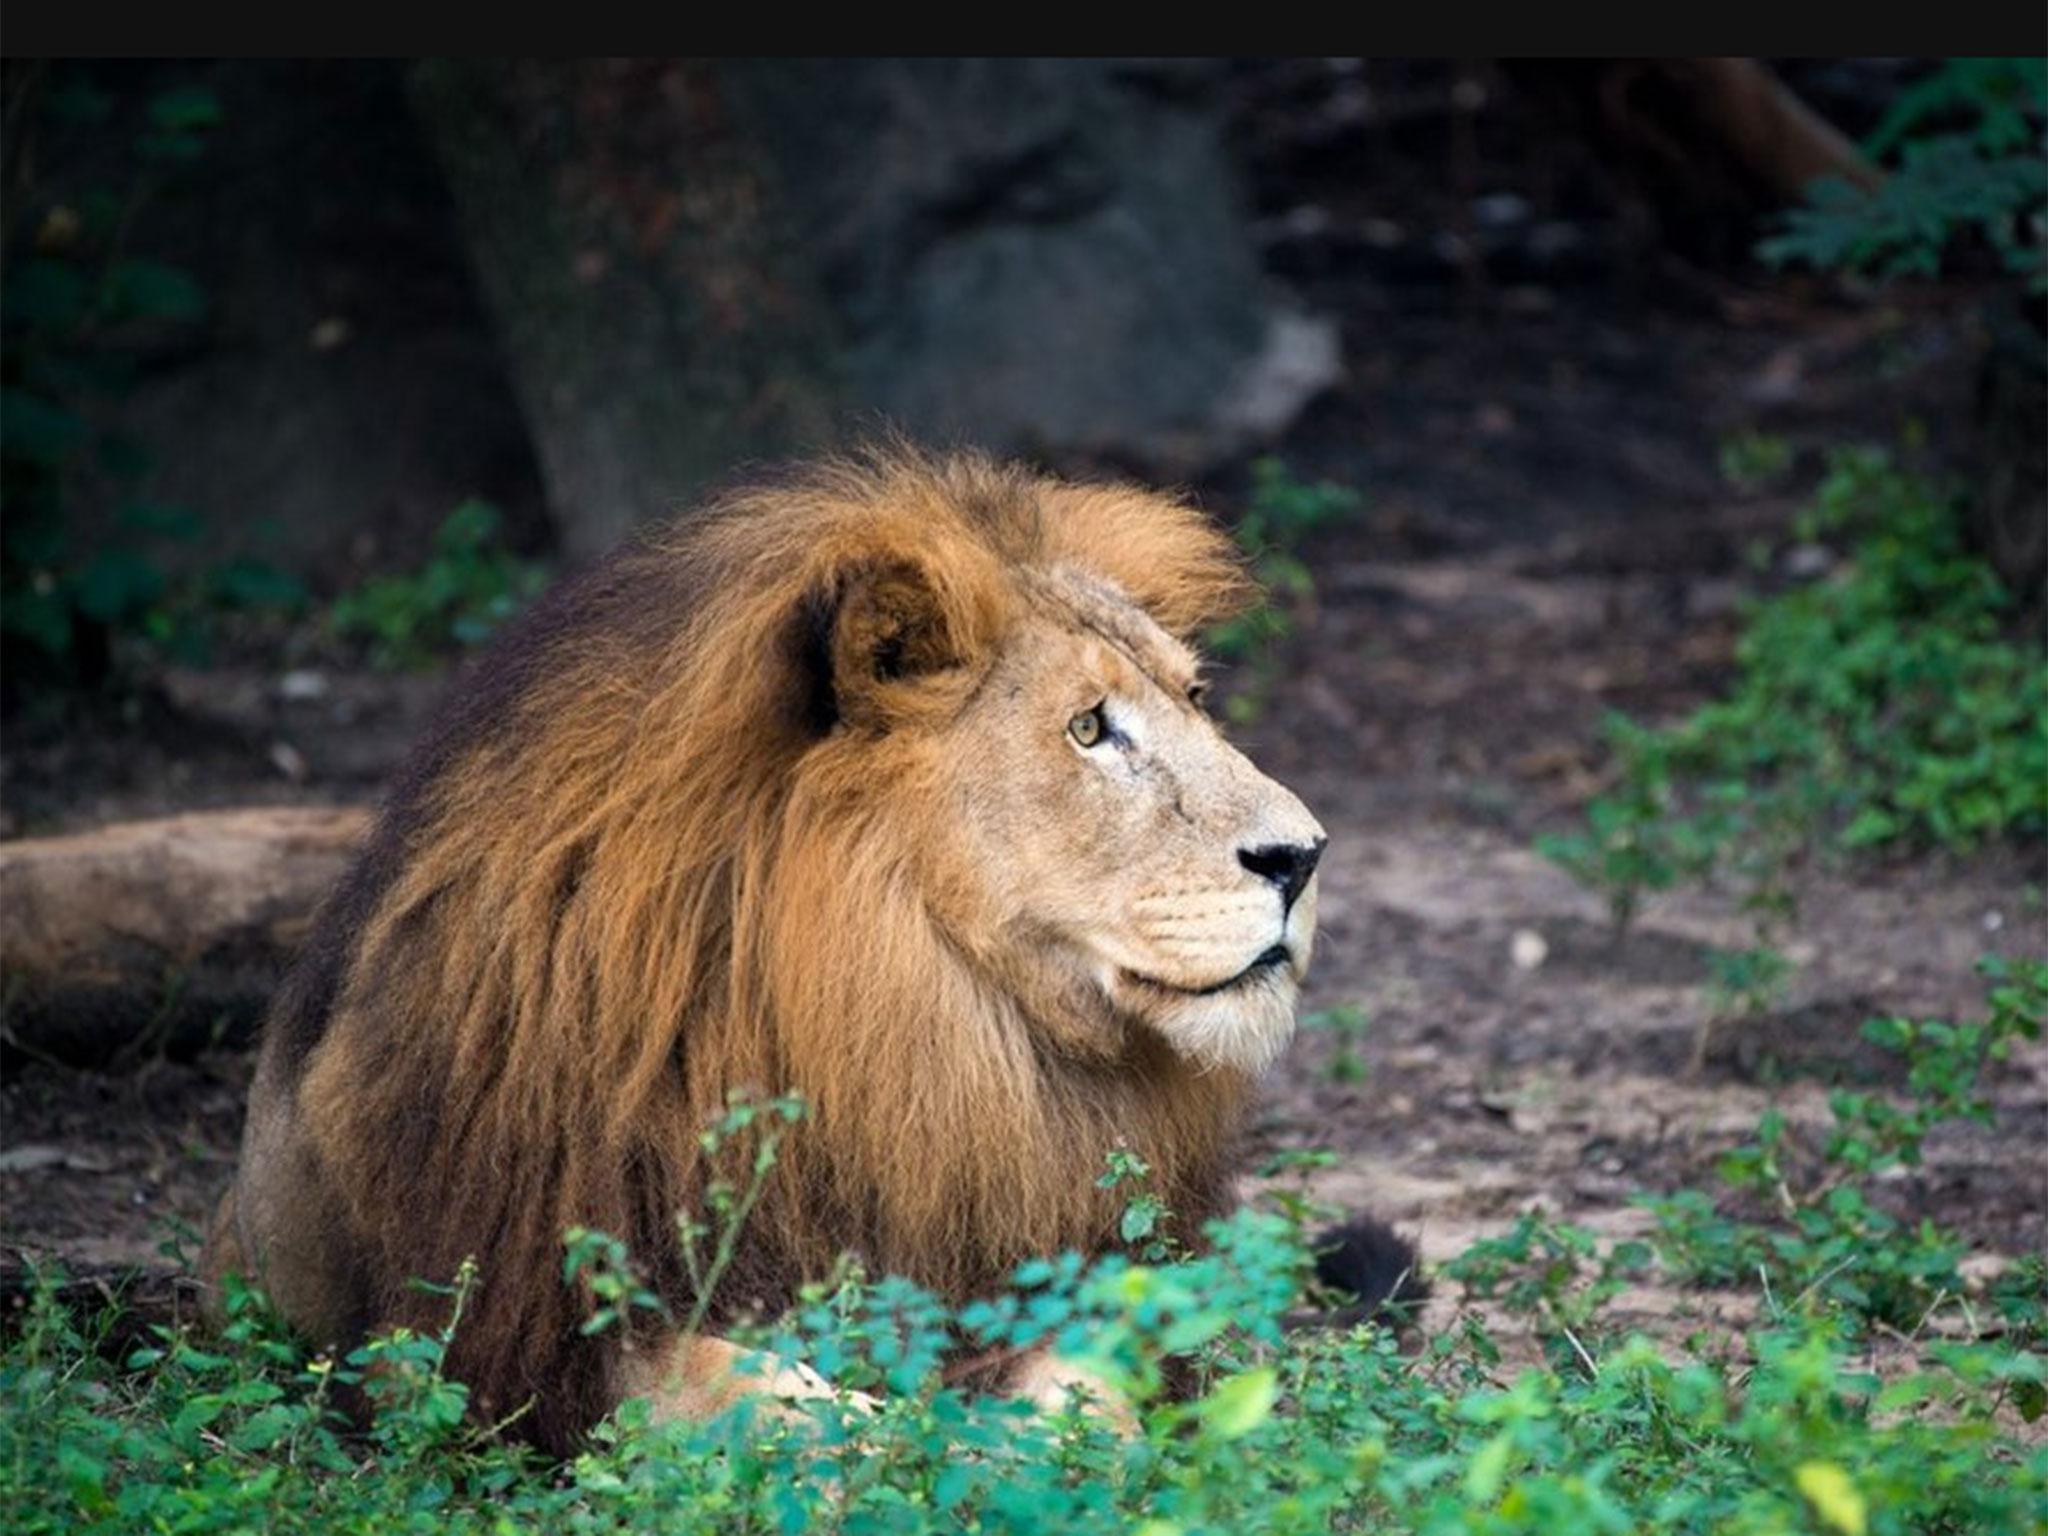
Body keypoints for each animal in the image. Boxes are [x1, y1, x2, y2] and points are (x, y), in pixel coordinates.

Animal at [203, 444, 1359, 1458]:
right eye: (1086, 729)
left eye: (1195, 699)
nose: (1302, 856)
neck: (917, 1024)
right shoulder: (502, 1337)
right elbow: (756, 1401)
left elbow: (1091, 1377)